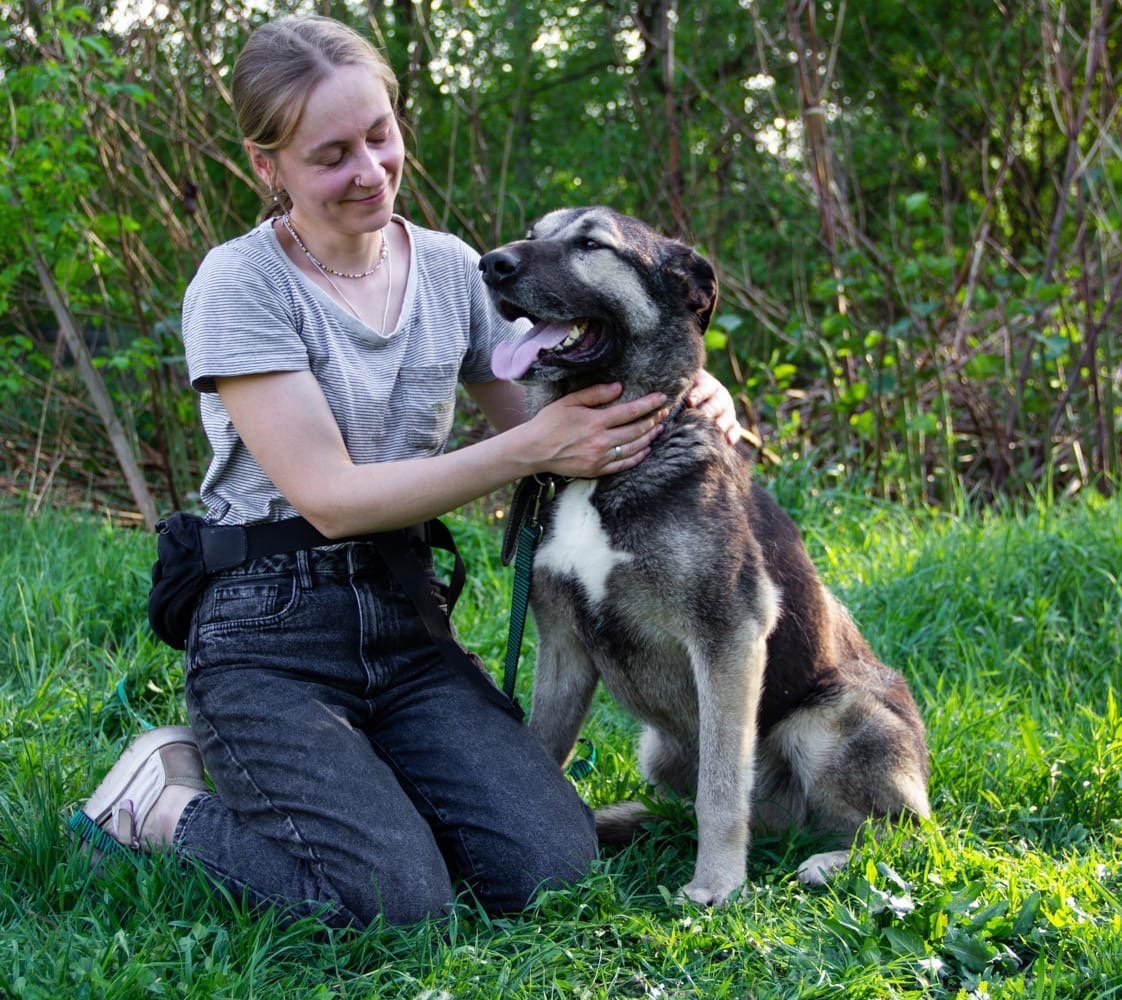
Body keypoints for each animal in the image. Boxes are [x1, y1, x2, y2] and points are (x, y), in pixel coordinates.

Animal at [480, 207, 929, 902]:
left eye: (591, 244)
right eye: (534, 233)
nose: (490, 264)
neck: (608, 470)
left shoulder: (727, 639)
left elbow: (721, 788)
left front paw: (717, 884)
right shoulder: (562, 647)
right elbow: (541, 749)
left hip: (827, 722)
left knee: (903, 834)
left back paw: (827, 861)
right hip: (658, 748)